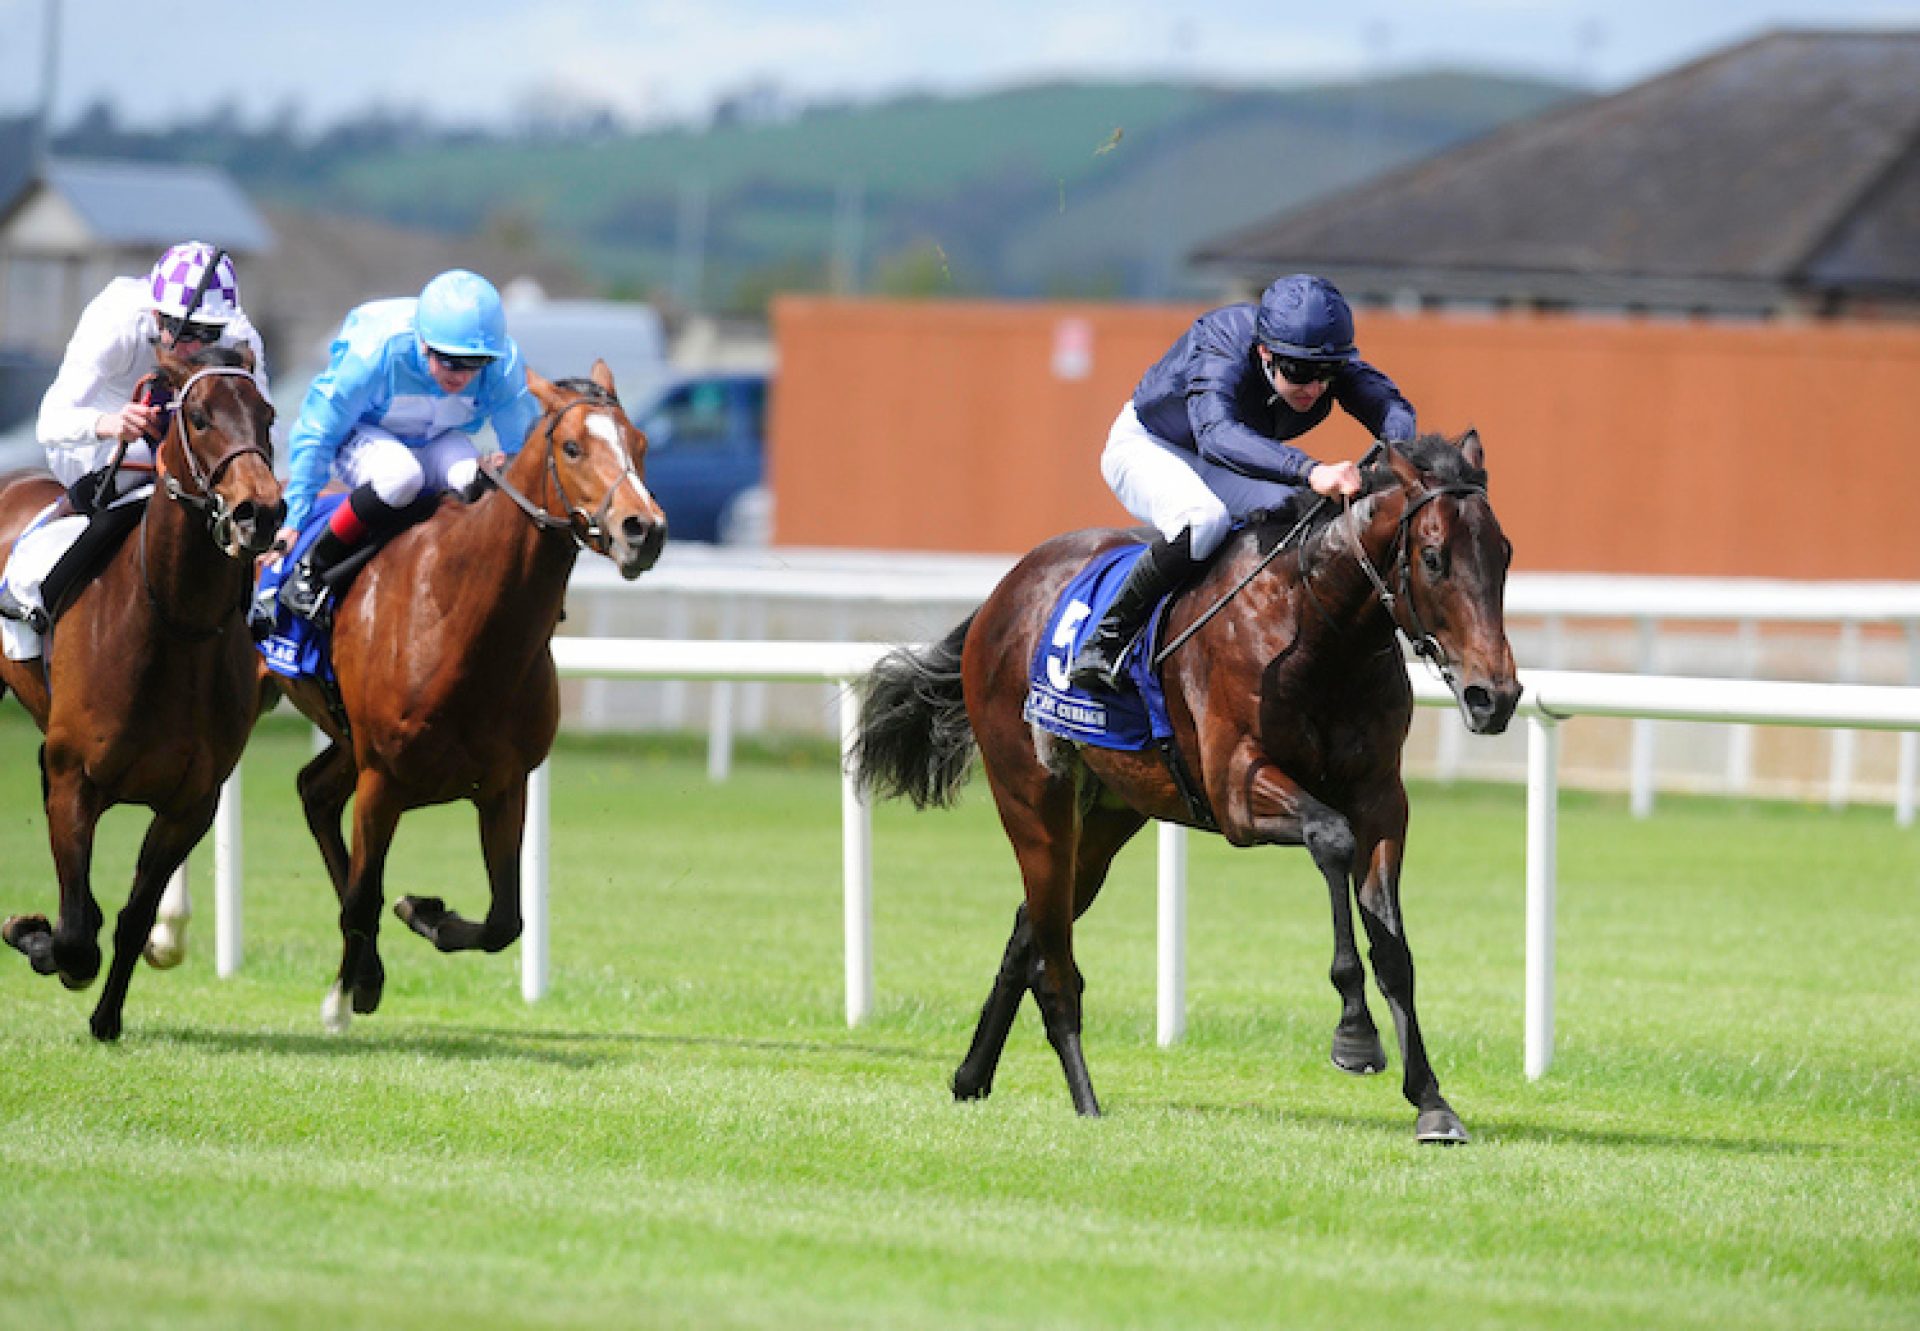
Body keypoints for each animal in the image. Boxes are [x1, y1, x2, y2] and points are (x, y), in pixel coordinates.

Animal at [0, 341, 280, 1037]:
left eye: (266, 414)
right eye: (199, 417)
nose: (260, 512)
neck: (170, 623)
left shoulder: (190, 803)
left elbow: (130, 919)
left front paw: (106, 1016)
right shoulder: (77, 779)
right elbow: (77, 929)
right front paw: (36, 937)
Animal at [266, 355, 664, 1029]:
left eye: (638, 444)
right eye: (573, 446)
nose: (644, 530)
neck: (460, 619)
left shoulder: (504, 785)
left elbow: (505, 920)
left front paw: (425, 913)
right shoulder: (383, 781)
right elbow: (363, 897)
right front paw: (342, 996)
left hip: (347, 741)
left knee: (314, 792)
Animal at [852, 430, 1512, 1137]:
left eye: (1504, 555)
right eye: (1434, 558)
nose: (1494, 697)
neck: (1313, 627)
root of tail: (1002, 594)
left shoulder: (1382, 798)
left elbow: (1394, 948)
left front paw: (1433, 1103)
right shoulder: (1238, 792)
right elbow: (1330, 837)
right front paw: (1355, 1035)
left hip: (1109, 816)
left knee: (1029, 927)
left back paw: (971, 1076)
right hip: (1032, 799)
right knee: (1054, 961)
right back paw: (1085, 1100)